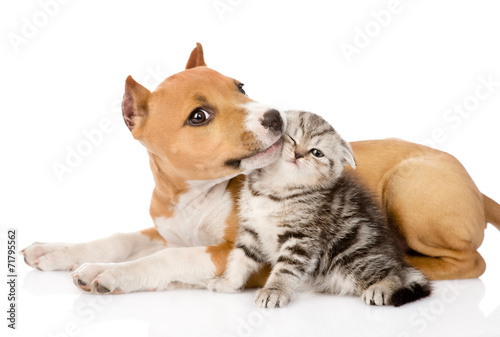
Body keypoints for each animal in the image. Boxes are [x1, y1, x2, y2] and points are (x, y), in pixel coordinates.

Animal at [209, 111, 432, 308]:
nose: (298, 154)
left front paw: (274, 291)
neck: (275, 190)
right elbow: (239, 258)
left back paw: (381, 288)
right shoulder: (252, 231)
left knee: (394, 274)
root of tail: (395, 258)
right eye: (291, 138)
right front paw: (228, 282)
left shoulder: (302, 238)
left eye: (317, 153)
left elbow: (285, 270)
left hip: (352, 257)